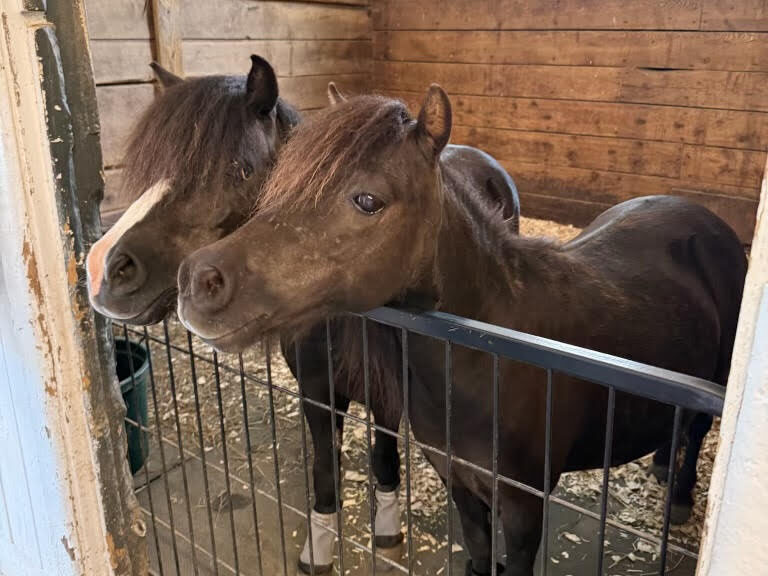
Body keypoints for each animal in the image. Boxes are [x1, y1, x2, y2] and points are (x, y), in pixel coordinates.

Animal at [84, 59, 521, 573]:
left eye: (240, 168)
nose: (103, 269)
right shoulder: (317, 393)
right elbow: (325, 469)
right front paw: (320, 545)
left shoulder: (388, 396)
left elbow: (384, 457)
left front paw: (386, 526)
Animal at [176, 87, 746, 576]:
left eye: (367, 200)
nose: (199, 281)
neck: (489, 358)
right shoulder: (462, 486)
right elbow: (477, 553)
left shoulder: (523, 508)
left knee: (697, 431)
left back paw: (678, 496)